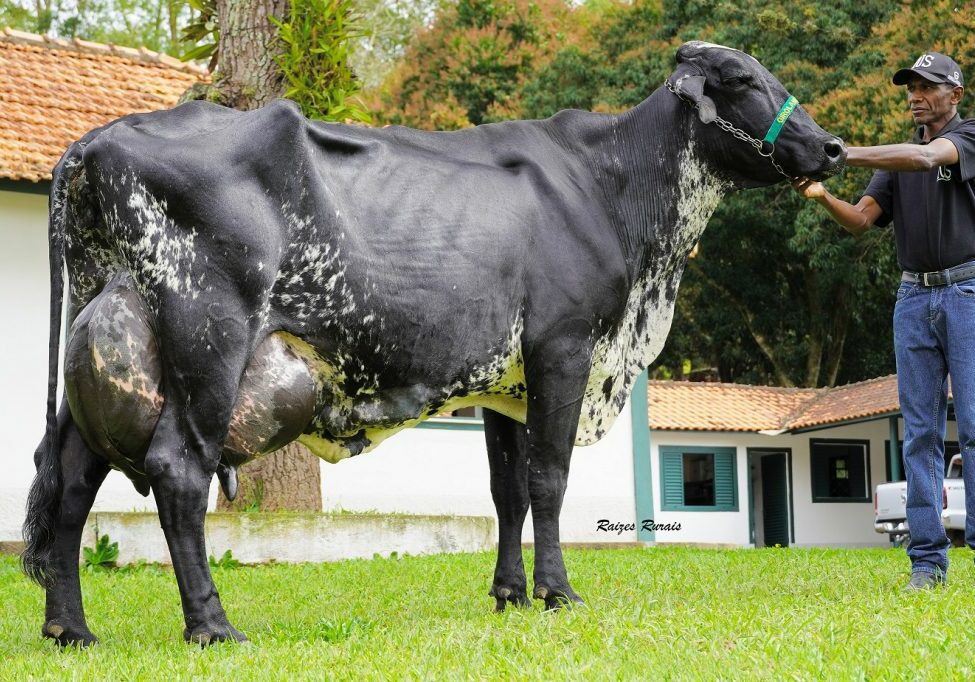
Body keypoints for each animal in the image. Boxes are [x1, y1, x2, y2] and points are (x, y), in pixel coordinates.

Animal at [22, 41, 845, 646]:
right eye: (743, 80)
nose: (833, 147)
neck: (614, 192)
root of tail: (95, 142)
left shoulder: (505, 383)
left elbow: (509, 491)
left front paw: (510, 595)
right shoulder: (563, 347)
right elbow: (550, 480)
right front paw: (557, 593)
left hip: (107, 343)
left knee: (70, 480)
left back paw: (71, 629)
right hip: (208, 338)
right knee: (177, 471)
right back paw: (213, 626)